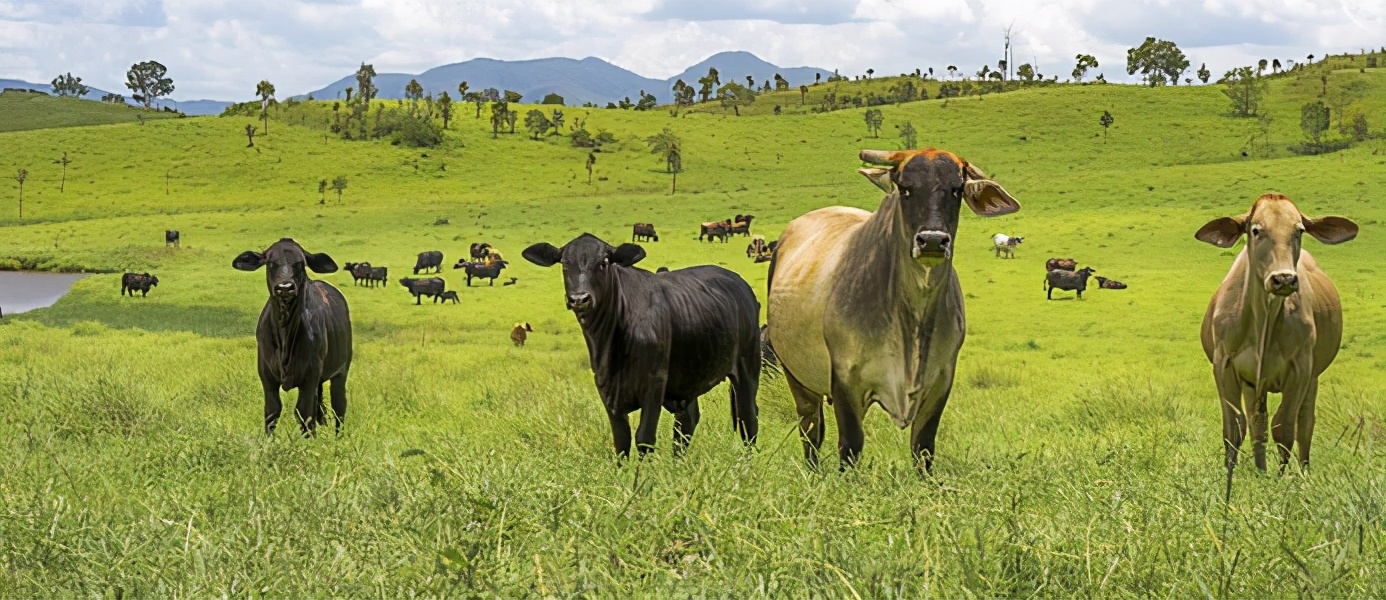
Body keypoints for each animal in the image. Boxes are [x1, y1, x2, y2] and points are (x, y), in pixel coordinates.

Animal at [232, 235, 352, 435]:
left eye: (300, 263)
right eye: (270, 262)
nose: (285, 287)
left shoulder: (310, 377)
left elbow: (305, 414)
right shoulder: (266, 376)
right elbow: (272, 412)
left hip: (341, 371)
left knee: (339, 407)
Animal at [521, 232, 765, 454]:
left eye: (603, 263)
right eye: (564, 265)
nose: (579, 299)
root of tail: (740, 284)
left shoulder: (654, 383)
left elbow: (644, 438)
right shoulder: (606, 388)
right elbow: (621, 442)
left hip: (748, 367)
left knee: (748, 420)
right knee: (687, 423)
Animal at [765, 147, 1025, 471]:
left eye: (956, 189)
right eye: (905, 189)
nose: (933, 240)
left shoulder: (941, 380)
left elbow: (923, 448)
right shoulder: (845, 379)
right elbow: (850, 446)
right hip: (795, 375)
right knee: (810, 429)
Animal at [1197, 191, 1358, 490]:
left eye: (1300, 230)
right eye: (1256, 230)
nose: (1283, 278)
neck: (1264, 321)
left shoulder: (1301, 369)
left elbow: (1284, 427)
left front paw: (1281, 481)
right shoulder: (1224, 366)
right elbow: (1235, 427)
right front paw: (1230, 475)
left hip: (1312, 377)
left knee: (1304, 423)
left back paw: (1303, 472)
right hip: (1254, 385)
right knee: (1256, 423)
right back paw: (1260, 468)